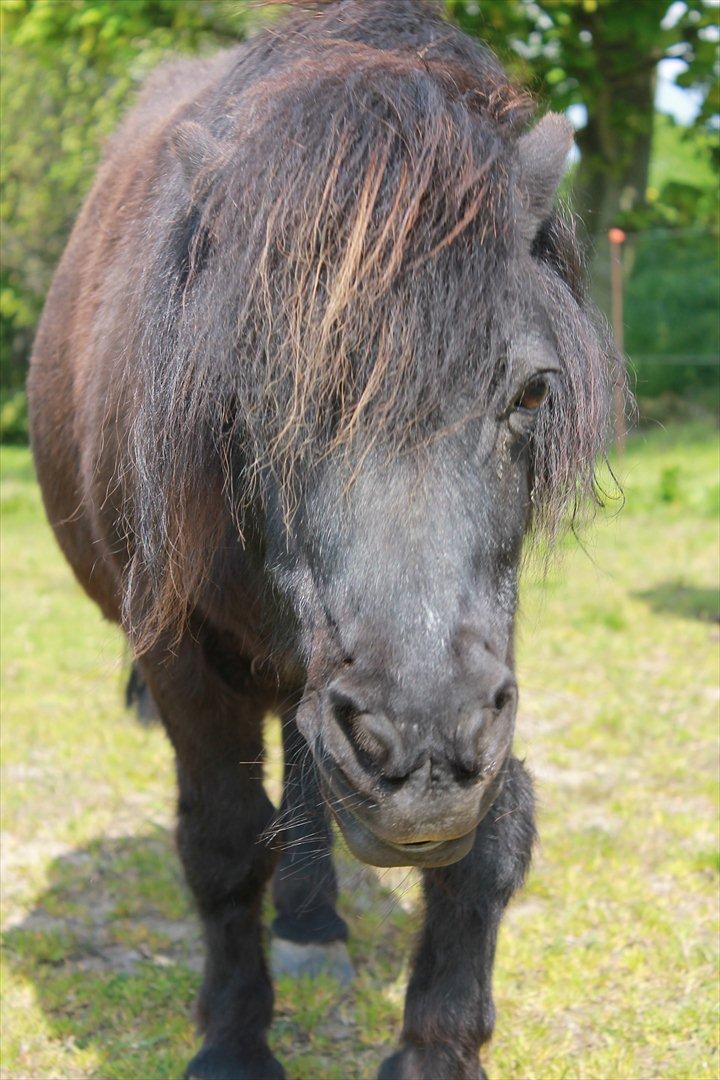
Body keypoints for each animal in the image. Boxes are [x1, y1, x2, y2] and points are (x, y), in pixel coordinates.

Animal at [26, 4, 613, 1075]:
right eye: (255, 397)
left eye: (531, 392)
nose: (421, 756)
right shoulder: (182, 654)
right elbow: (221, 844)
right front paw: (233, 1042)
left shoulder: (488, 656)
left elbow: (493, 837)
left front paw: (436, 1046)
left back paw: (312, 925)